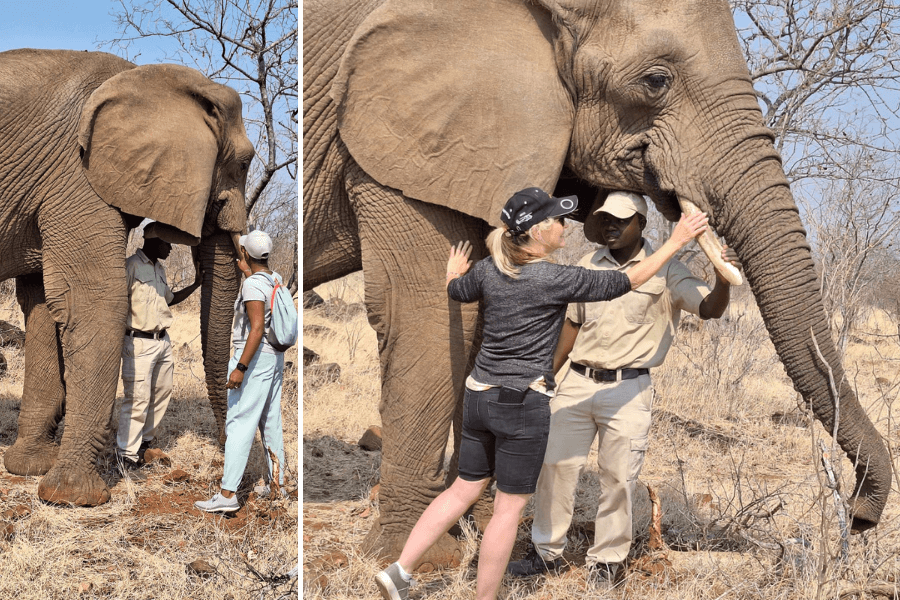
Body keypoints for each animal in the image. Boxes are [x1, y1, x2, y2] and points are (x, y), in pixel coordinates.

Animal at [0, 48, 253, 505]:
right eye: (243, 163)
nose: (239, 484)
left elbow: (44, 303)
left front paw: (31, 468)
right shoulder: (76, 172)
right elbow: (97, 299)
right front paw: (74, 497)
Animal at [303, 0, 892, 560]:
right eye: (656, 80)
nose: (860, 516)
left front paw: (483, 523)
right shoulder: (388, 144)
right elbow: (431, 311)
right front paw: (424, 558)